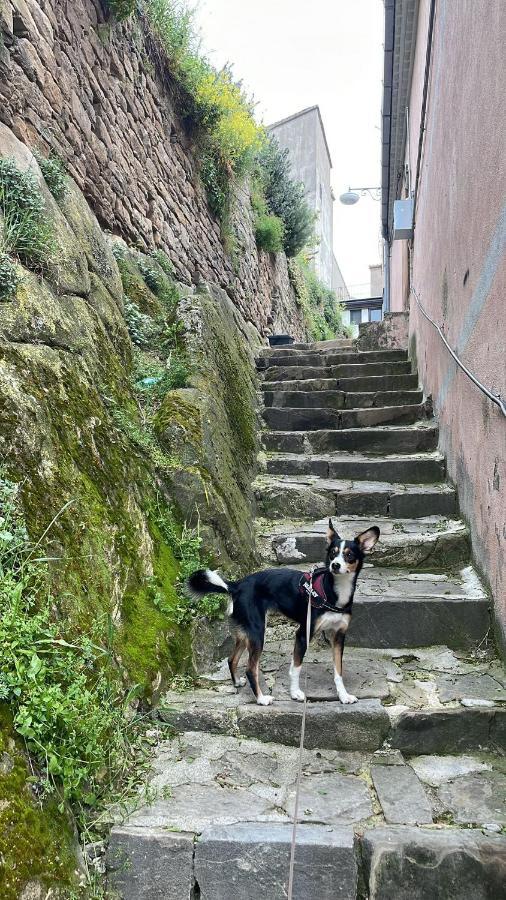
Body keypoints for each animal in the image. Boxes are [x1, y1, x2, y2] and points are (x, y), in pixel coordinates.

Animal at [188, 520, 378, 712]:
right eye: (333, 553)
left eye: (349, 555)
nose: (335, 565)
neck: (334, 592)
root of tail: (237, 585)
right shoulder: (303, 634)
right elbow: (296, 667)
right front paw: (295, 693)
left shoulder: (339, 636)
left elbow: (338, 670)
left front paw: (343, 696)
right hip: (257, 632)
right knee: (250, 669)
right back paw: (261, 699)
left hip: (246, 632)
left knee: (231, 659)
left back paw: (237, 683)